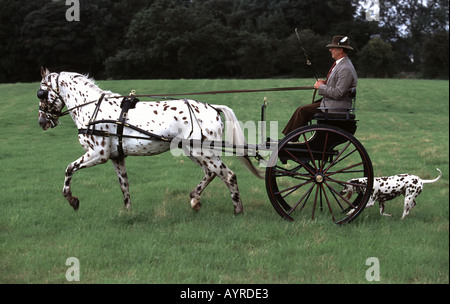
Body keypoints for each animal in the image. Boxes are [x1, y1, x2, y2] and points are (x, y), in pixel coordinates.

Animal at [39, 68, 264, 216]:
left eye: (41, 93)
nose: (42, 122)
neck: (93, 109)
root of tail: (212, 107)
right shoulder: (116, 157)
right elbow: (124, 185)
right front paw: (128, 212)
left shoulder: (98, 154)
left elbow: (69, 169)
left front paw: (72, 200)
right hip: (195, 152)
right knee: (211, 174)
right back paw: (195, 200)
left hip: (203, 153)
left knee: (228, 175)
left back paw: (237, 210)